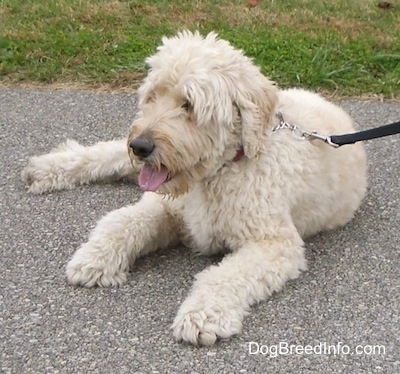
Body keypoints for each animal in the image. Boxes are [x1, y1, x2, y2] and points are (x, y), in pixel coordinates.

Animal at [21, 30, 366, 346]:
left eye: (189, 104)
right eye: (153, 96)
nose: (140, 146)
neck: (216, 173)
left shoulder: (273, 242)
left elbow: (224, 276)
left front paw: (203, 315)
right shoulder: (165, 206)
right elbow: (123, 221)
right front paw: (96, 257)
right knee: (105, 152)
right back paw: (48, 168)